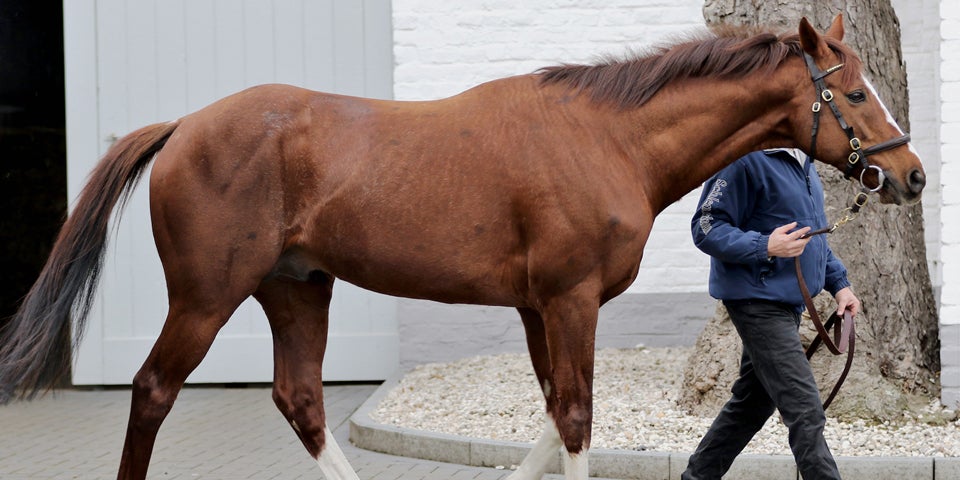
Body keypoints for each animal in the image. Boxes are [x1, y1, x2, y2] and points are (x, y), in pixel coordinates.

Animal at [0, 14, 924, 480]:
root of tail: (186, 124)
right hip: (205, 297)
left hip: (297, 287)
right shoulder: (568, 301)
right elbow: (577, 419)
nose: (911, 176)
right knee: (153, 391)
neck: (606, 138)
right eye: (851, 92)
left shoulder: (535, 308)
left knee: (300, 400)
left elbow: (553, 419)